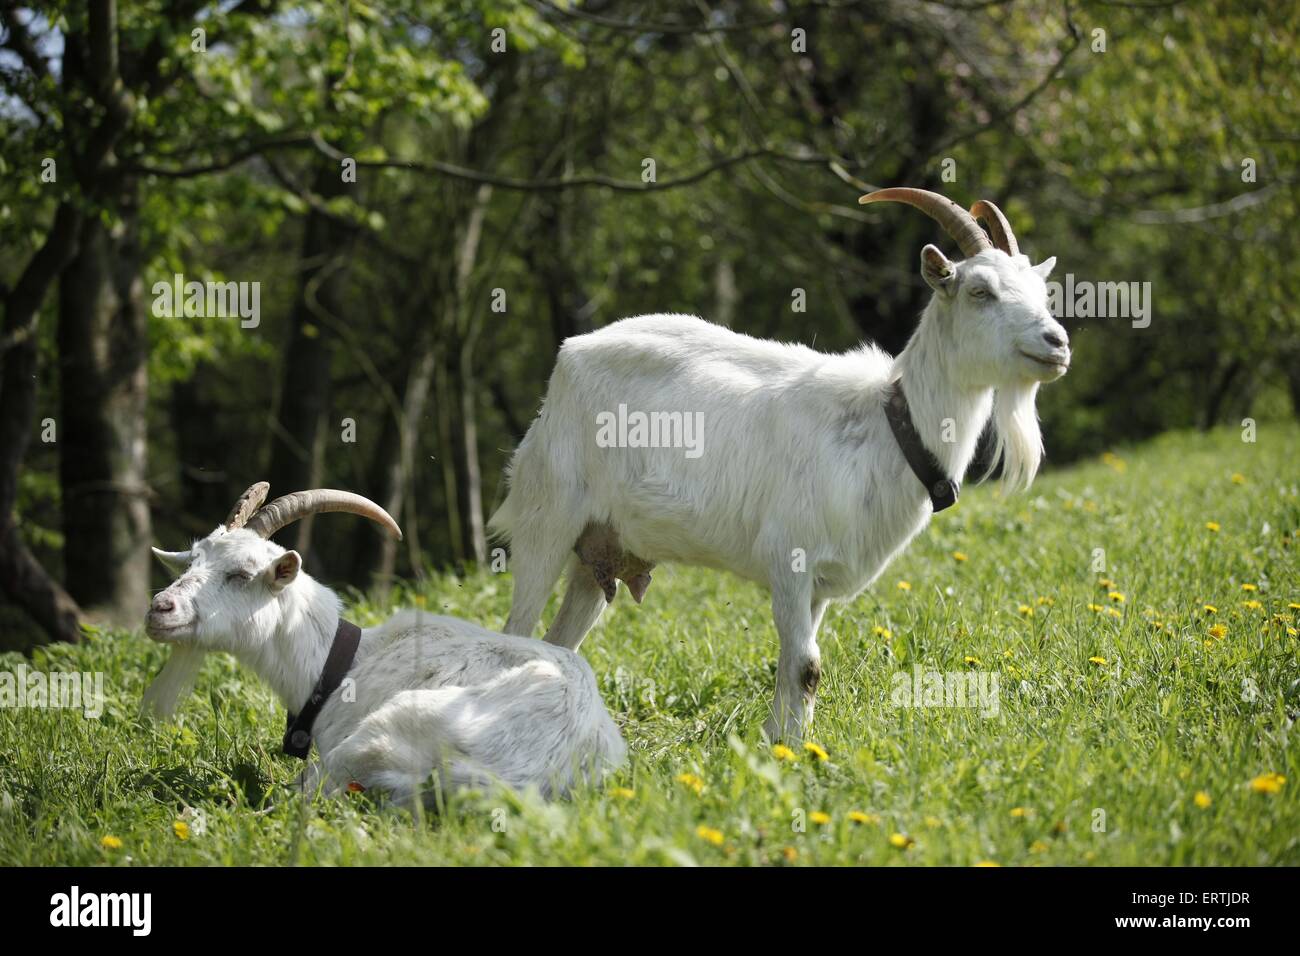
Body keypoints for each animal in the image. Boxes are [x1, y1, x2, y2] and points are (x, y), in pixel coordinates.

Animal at [491, 187, 1071, 738]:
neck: (887, 426)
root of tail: (566, 362)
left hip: (601, 550)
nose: (1057, 343)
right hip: (547, 520)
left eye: (1041, 292)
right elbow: (808, 666)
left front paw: (788, 740)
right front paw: (787, 746)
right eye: (980, 291)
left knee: (560, 643)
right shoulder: (789, 559)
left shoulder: (818, 587)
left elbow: (797, 667)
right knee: (516, 633)